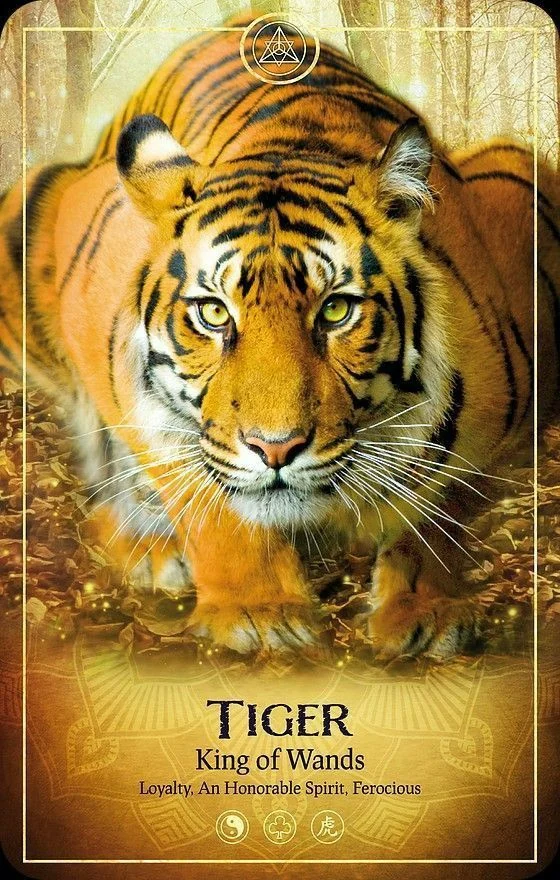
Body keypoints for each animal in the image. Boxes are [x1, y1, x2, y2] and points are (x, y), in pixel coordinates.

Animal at [0, 17, 558, 659]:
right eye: (213, 314)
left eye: (336, 310)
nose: (275, 449)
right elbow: (202, 490)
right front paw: (260, 609)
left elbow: (444, 507)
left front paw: (424, 612)